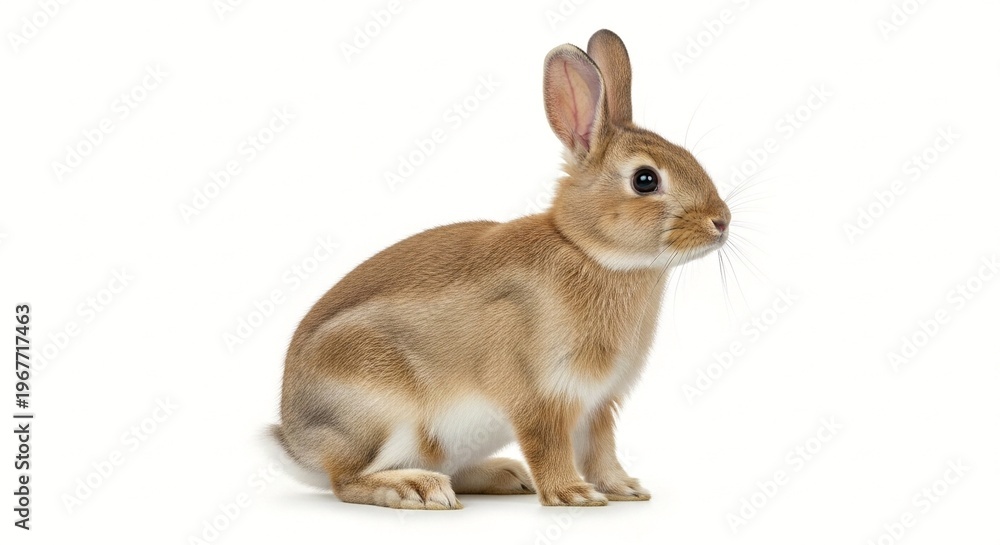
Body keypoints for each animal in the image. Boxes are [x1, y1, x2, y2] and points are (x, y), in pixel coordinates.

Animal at [272, 29, 730, 510]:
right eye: (645, 180)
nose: (721, 221)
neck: (585, 250)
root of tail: (299, 445)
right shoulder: (540, 396)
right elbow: (548, 445)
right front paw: (573, 495)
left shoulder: (598, 404)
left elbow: (600, 449)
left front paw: (623, 488)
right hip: (382, 411)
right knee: (347, 480)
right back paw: (417, 488)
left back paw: (505, 476)